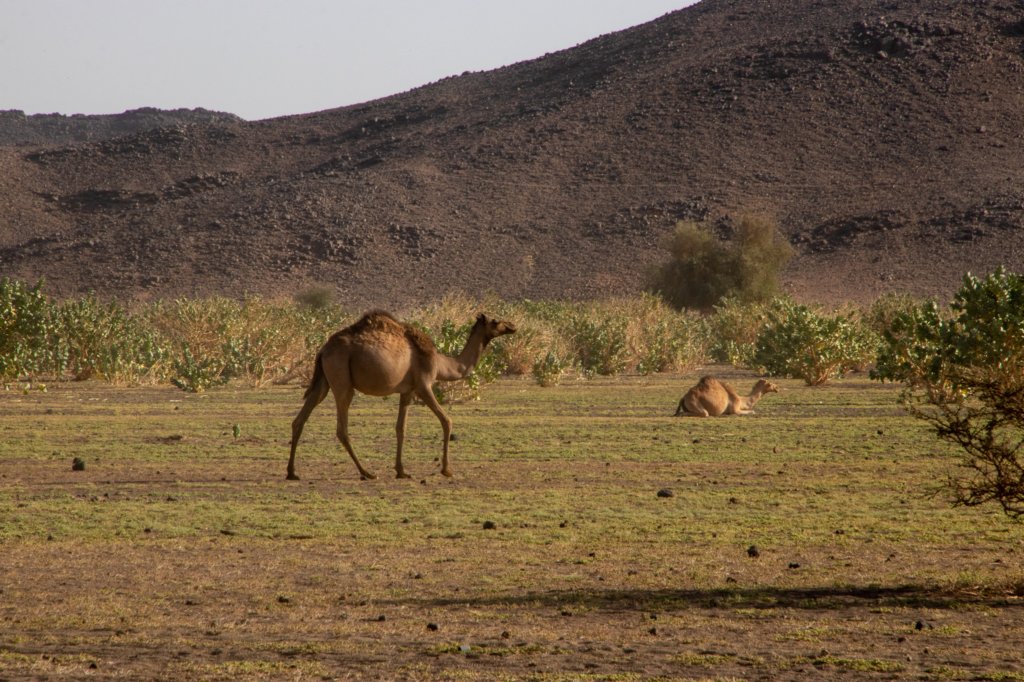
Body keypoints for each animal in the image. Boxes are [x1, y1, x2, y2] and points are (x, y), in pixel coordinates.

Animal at [288, 307, 516, 477]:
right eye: (496, 321)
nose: (512, 326)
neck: (441, 363)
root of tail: (323, 350)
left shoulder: (407, 391)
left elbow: (401, 428)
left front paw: (401, 471)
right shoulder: (424, 385)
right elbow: (446, 420)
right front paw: (446, 470)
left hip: (323, 381)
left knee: (301, 418)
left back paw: (292, 472)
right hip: (342, 378)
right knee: (341, 427)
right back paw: (367, 472)